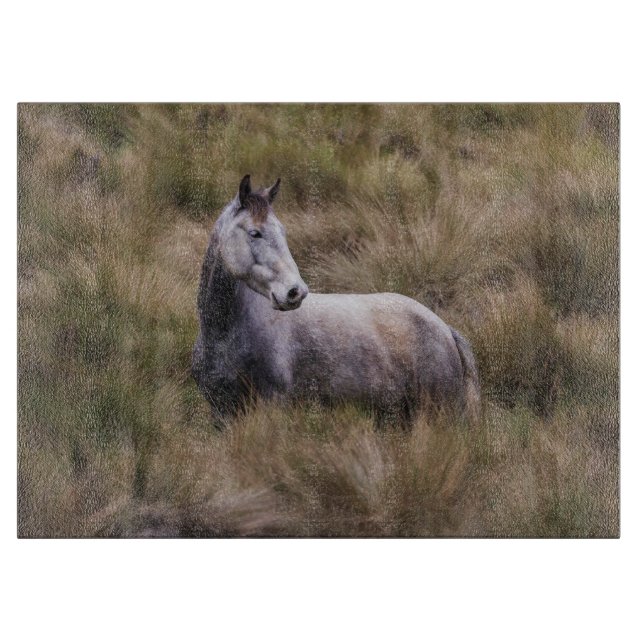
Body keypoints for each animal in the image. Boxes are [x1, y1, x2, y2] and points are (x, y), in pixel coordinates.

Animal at [191, 175, 480, 427]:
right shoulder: (221, 412)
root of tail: (445, 329)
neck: (226, 334)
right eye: (255, 233)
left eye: (282, 232)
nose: (295, 292)